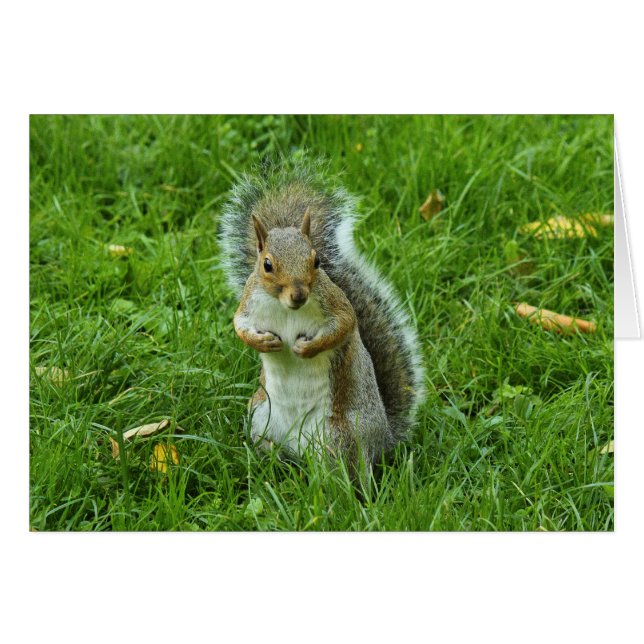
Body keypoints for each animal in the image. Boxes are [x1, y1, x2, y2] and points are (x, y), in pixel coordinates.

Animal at [218, 159, 425, 470]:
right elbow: (239, 325)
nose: (299, 295)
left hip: (342, 436)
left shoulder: (336, 304)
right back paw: (268, 457)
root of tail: (384, 440)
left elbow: (345, 325)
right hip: (260, 413)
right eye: (267, 265)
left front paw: (306, 348)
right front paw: (263, 342)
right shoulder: (248, 303)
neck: (285, 308)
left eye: (316, 261)